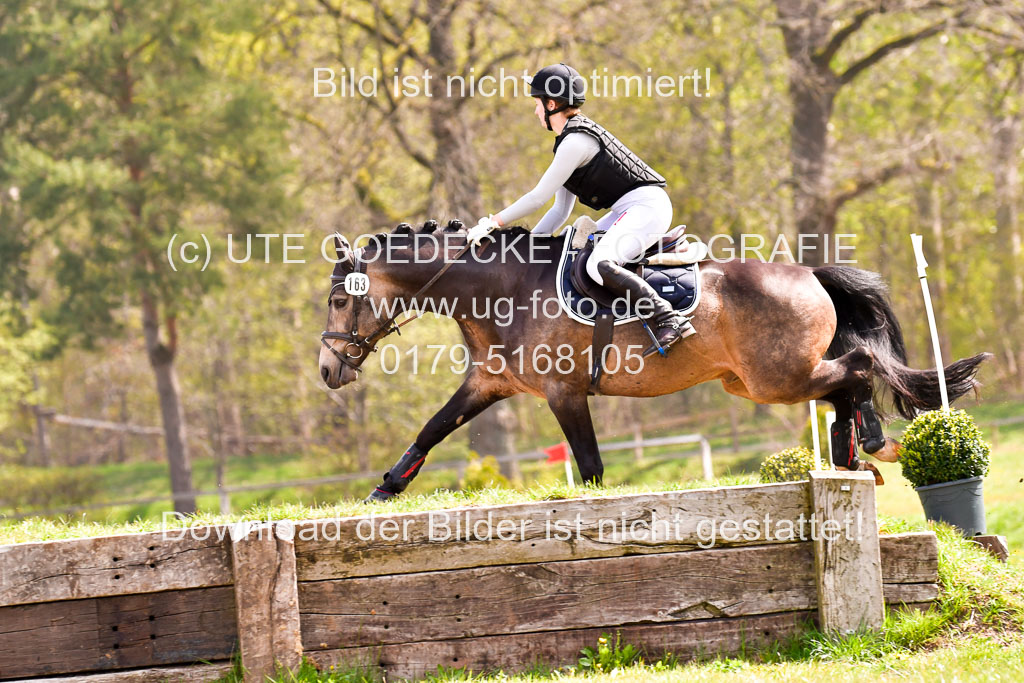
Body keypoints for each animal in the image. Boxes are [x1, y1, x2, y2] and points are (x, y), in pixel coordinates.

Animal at [315, 220, 987, 501]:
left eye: (338, 300)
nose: (327, 370)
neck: (501, 289)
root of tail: (811, 273)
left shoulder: (564, 394)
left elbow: (588, 468)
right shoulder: (488, 383)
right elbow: (431, 429)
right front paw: (385, 489)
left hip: (776, 378)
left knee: (859, 367)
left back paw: (868, 443)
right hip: (755, 383)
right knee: (845, 380)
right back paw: (851, 452)